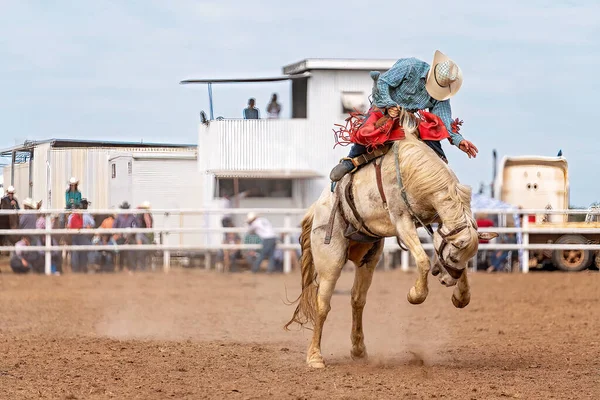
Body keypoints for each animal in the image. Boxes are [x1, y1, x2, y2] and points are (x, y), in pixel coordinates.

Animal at [286, 114, 496, 368]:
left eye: (466, 256)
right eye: (454, 255)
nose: (448, 281)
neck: (412, 170)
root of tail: (317, 209)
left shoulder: (436, 219)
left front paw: (461, 297)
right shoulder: (402, 221)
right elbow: (422, 260)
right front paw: (416, 295)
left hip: (368, 257)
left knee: (357, 300)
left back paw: (359, 350)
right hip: (330, 260)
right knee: (323, 304)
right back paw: (315, 356)